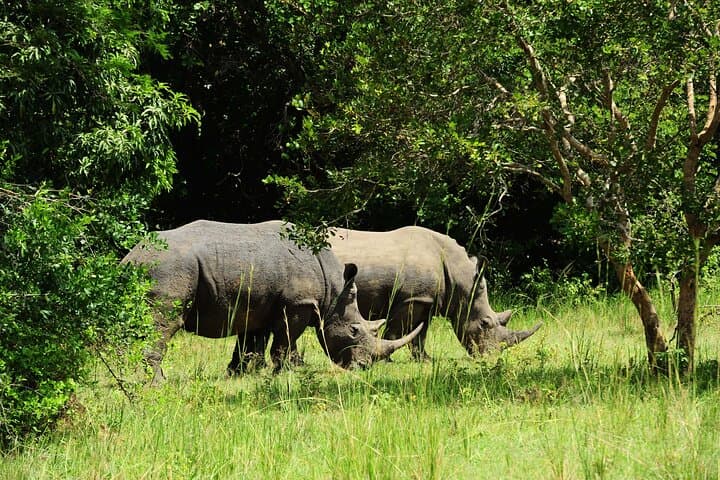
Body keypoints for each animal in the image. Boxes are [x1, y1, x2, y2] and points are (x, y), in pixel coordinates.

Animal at [121, 220, 422, 383]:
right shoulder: (298, 303)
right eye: (354, 330)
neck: (333, 289)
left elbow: (249, 345)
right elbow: (285, 340)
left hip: (160, 268)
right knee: (164, 321)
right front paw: (285, 373)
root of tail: (132, 257)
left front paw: (239, 375)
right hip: (168, 269)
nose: (364, 367)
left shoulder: (258, 304)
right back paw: (156, 384)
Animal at [328, 226, 541, 359]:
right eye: (484, 323)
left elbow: (420, 333)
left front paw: (425, 360)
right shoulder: (411, 298)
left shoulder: (427, 300)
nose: (491, 356)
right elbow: (395, 332)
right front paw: (388, 361)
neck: (459, 277)